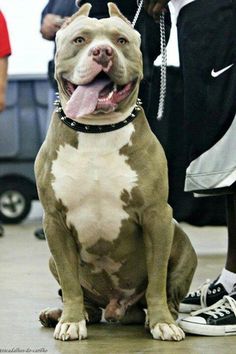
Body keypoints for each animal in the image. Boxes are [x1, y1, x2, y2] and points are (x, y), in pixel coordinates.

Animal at [35, 2, 197, 340]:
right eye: (80, 39)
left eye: (121, 40)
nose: (103, 51)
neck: (97, 129)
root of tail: (118, 308)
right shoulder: (54, 221)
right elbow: (70, 282)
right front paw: (71, 321)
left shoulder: (156, 216)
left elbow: (157, 279)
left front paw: (162, 322)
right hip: (53, 259)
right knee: (83, 298)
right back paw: (64, 313)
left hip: (180, 238)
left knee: (169, 291)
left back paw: (161, 318)